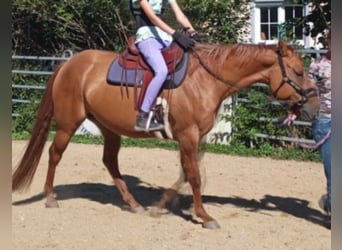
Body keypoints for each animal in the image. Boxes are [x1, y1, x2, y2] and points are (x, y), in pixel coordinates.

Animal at [12, 41, 320, 229]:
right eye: (298, 72)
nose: (315, 105)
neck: (204, 80)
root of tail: (68, 63)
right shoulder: (188, 135)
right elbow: (194, 177)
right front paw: (204, 216)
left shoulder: (195, 139)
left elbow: (189, 174)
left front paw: (164, 205)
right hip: (68, 123)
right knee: (54, 154)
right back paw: (51, 197)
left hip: (109, 128)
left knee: (110, 162)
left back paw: (134, 204)